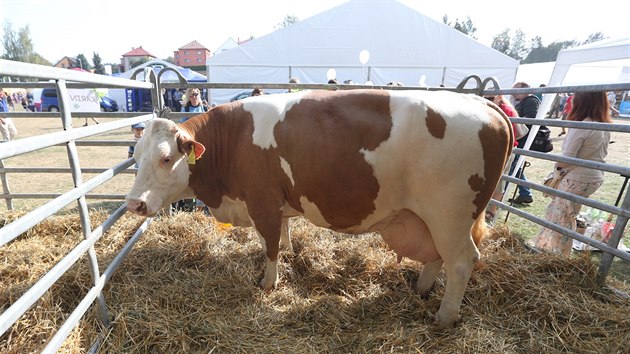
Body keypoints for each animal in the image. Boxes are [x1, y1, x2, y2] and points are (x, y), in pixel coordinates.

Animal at [126, 88, 516, 326]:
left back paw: (445, 317)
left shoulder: (262, 202)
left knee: (462, 260)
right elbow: (283, 235)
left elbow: (269, 246)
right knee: (437, 257)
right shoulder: (278, 203)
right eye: (136, 157)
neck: (232, 139)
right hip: (431, 218)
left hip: (450, 215)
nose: (134, 203)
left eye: (165, 158)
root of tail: (484, 104)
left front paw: (268, 284)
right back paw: (421, 289)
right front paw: (289, 254)